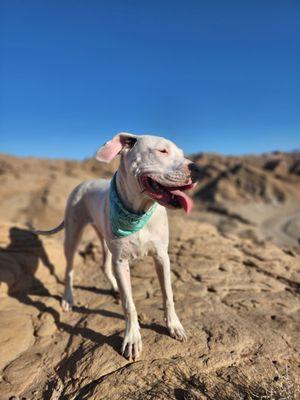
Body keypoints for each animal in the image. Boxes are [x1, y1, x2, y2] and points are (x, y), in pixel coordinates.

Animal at [35, 133, 199, 360]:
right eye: (162, 151)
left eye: (182, 153)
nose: (197, 169)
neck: (138, 213)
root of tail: (85, 182)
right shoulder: (121, 262)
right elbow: (129, 303)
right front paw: (132, 339)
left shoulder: (161, 257)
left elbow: (168, 295)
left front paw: (174, 326)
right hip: (73, 235)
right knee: (69, 270)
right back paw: (68, 298)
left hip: (104, 239)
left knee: (104, 265)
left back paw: (113, 287)